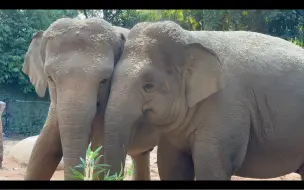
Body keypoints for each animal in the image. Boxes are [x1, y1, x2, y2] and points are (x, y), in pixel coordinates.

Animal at [102, 20, 304, 180]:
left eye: (148, 86)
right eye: (109, 81)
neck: (191, 38)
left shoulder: (225, 107)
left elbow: (211, 168)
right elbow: (171, 165)